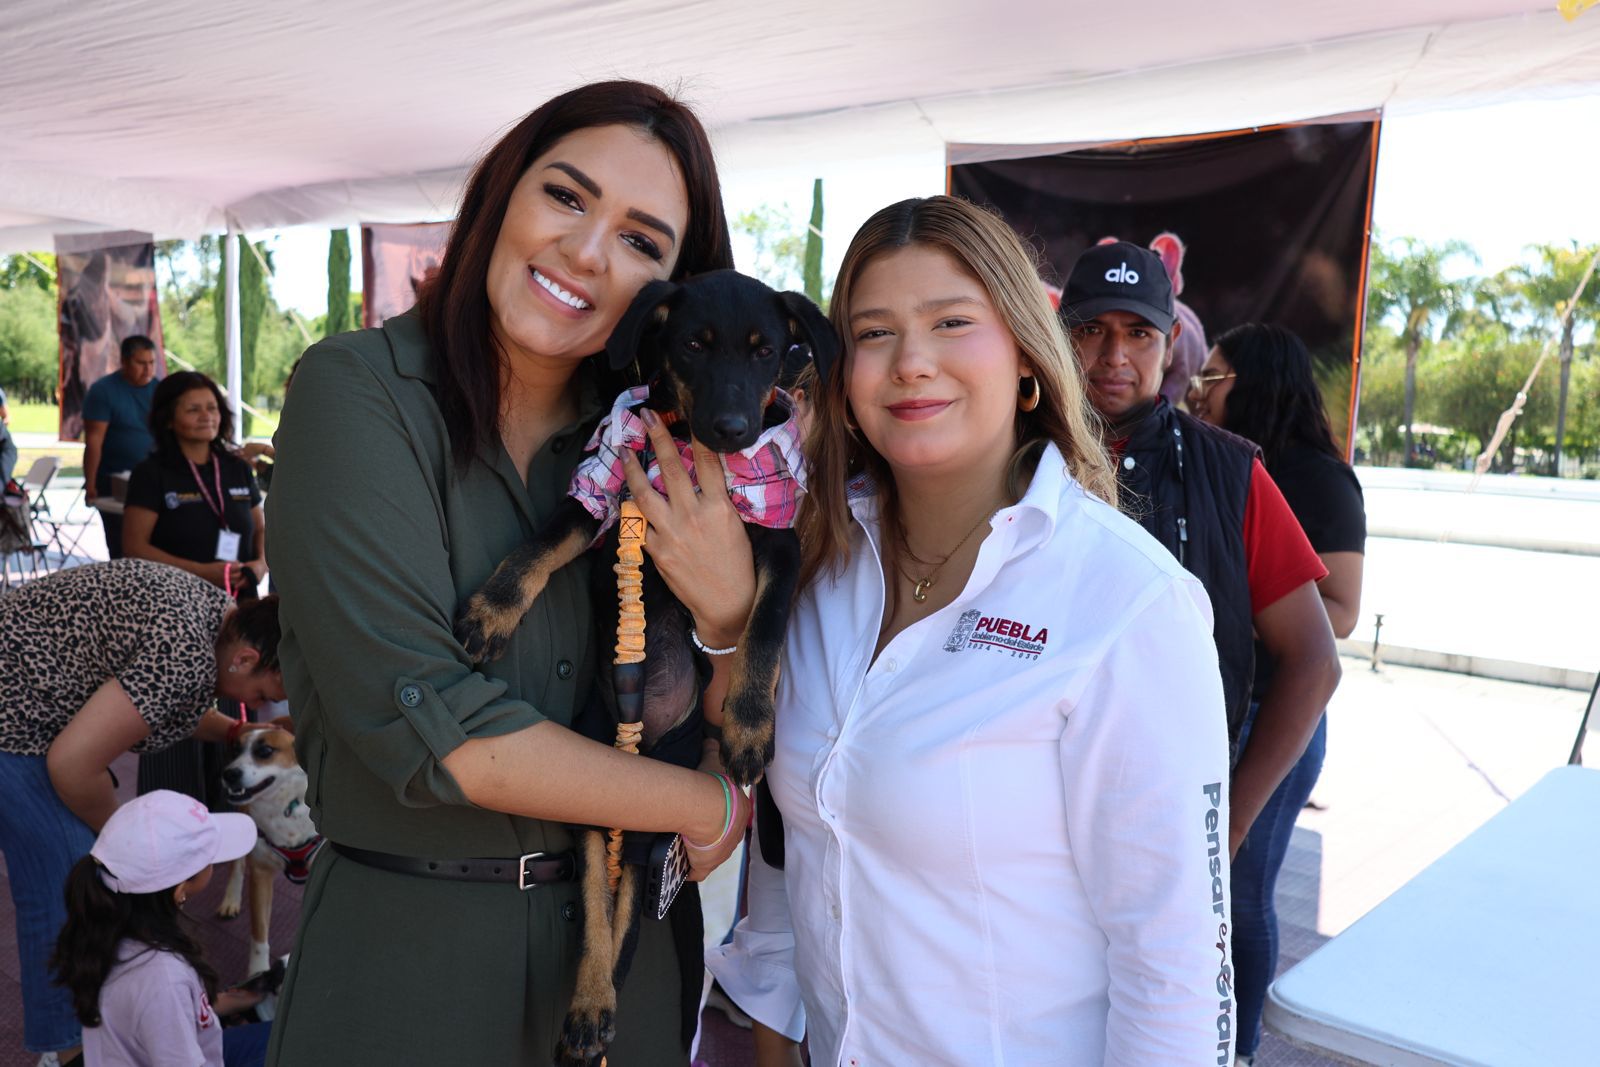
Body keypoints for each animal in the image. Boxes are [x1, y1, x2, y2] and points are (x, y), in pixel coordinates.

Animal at [217, 727, 325, 978]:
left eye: (265, 751)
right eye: (235, 750)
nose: (229, 774)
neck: (284, 805)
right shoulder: (260, 873)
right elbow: (258, 933)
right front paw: (258, 971)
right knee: (237, 864)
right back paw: (231, 899)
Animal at [455, 270, 836, 1067]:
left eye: (765, 351)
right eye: (693, 344)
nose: (733, 427)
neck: (688, 446)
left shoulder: (777, 539)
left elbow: (763, 629)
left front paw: (750, 725)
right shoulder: (604, 488)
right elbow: (538, 545)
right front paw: (491, 612)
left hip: (654, 806)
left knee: (629, 904)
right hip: (603, 792)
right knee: (604, 911)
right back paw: (589, 1006)